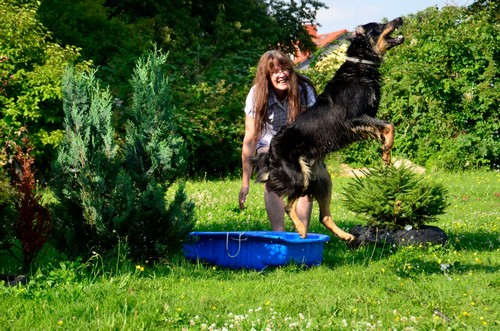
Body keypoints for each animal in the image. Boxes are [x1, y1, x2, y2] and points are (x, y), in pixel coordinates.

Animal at [252, 16, 404, 243]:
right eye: (378, 27)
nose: (400, 19)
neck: (360, 66)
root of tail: (271, 151)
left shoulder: (366, 118)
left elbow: (385, 127)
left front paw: (386, 155)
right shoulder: (353, 118)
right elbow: (389, 125)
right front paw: (387, 150)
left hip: (323, 181)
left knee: (323, 216)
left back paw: (345, 235)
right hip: (299, 177)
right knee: (288, 206)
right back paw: (301, 230)